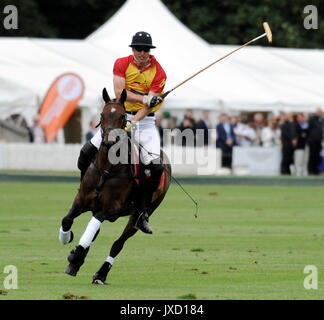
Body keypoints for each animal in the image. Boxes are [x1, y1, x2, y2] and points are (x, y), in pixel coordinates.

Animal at [57, 89, 172, 284]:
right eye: (102, 115)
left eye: (122, 116)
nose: (110, 141)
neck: (107, 168)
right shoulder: (81, 200)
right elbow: (67, 219)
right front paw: (67, 239)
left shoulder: (113, 209)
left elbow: (98, 224)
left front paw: (76, 252)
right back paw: (77, 262)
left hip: (140, 213)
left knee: (118, 244)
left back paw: (100, 273)